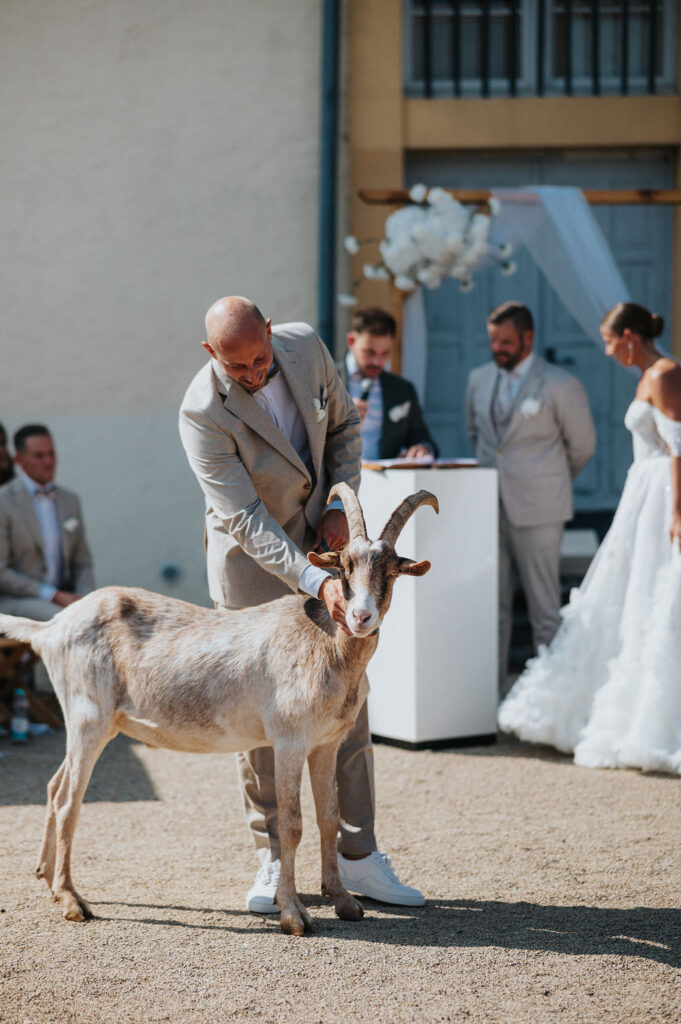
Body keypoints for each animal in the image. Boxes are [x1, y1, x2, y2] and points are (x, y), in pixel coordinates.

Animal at [0, 483, 438, 936]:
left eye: (391, 571)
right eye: (346, 567)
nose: (361, 616)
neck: (322, 641)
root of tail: (51, 629)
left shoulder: (325, 745)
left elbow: (329, 818)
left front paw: (344, 901)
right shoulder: (289, 742)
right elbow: (292, 823)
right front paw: (293, 913)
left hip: (89, 723)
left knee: (54, 787)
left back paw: (48, 880)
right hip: (89, 719)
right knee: (69, 801)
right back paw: (72, 900)